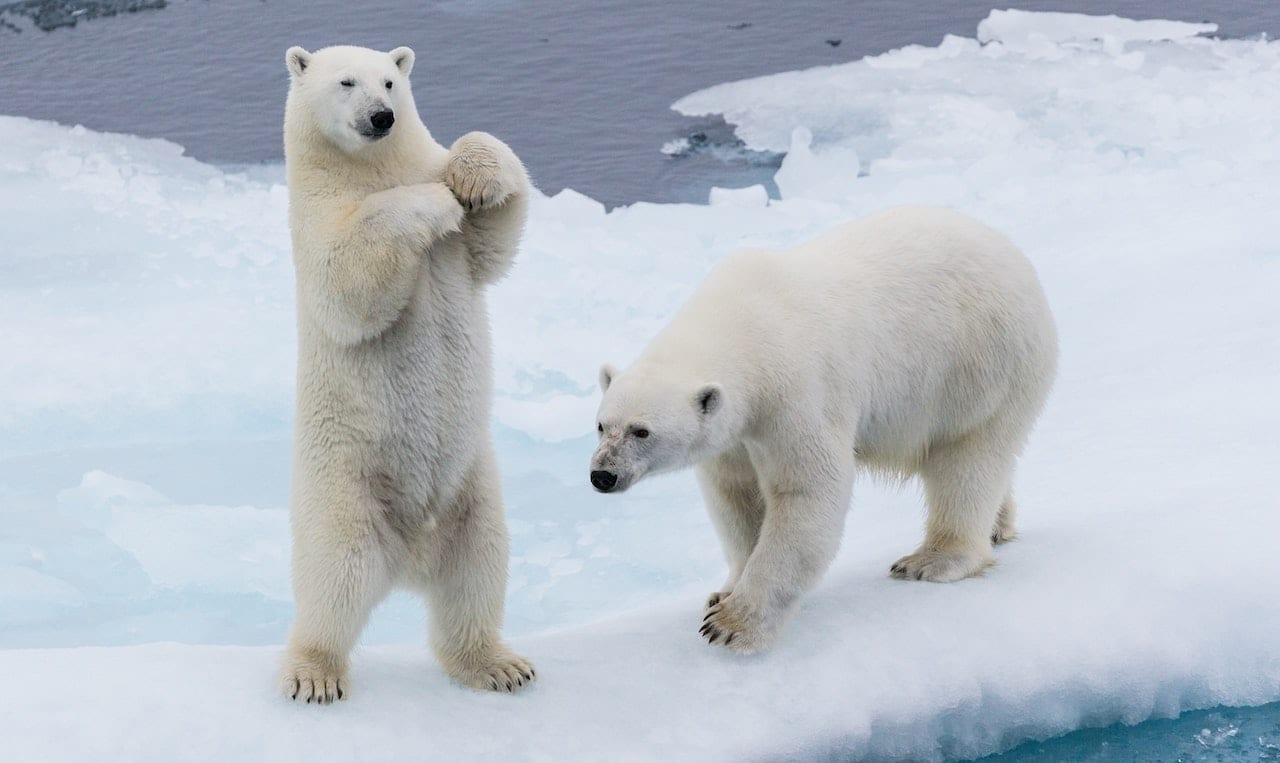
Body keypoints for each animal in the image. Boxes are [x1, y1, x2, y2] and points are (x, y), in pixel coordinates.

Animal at [280, 43, 535, 701]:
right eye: (346, 82)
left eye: (391, 82)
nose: (381, 117)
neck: (370, 167)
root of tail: (410, 560)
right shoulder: (315, 217)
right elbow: (348, 281)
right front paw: (434, 203)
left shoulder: (462, 249)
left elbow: (495, 239)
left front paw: (471, 179)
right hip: (344, 488)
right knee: (334, 581)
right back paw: (314, 673)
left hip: (471, 490)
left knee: (477, 571)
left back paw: (498, 664)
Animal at [588, 207, 1059, 655]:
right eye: (601, 425)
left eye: (642, 431)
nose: (602, 475)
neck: (744, 324)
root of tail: (1015, 258)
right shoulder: (737, 431)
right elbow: (737, 496)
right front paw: (723, 592)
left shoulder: (795, 391)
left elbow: (807, 490)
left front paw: (732, 624)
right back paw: (998, 525)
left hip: (979, 364)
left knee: (966, 459)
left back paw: (932, 559)